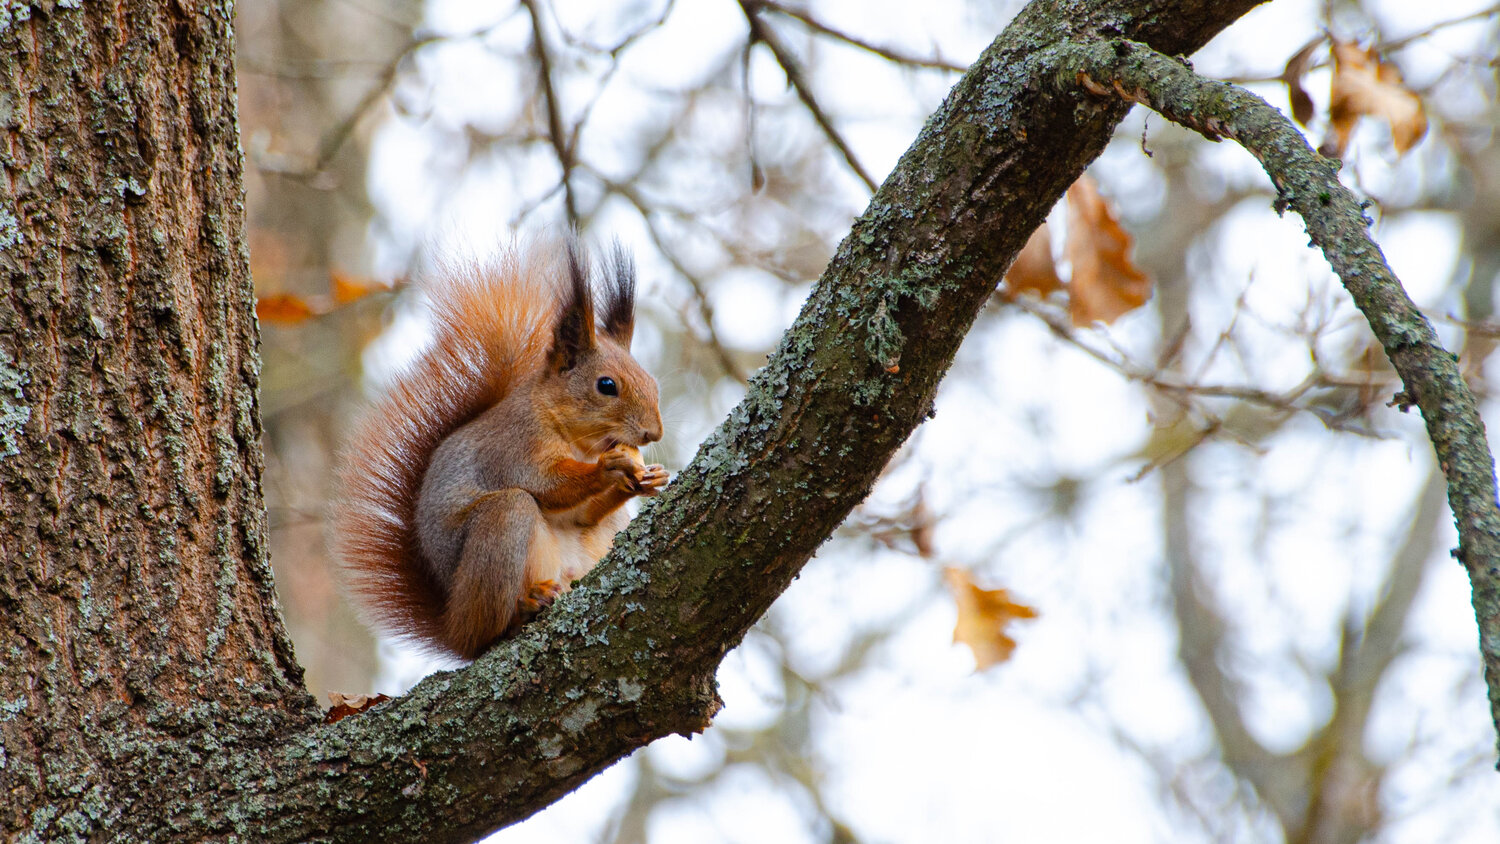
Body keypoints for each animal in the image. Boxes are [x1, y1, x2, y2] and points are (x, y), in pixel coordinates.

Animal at [334, 241, 668, 660]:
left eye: (653, 382)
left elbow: (583, 516)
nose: (654, 433)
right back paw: (524, 607)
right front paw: (608, 468)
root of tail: (451, 624)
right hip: (501, 525)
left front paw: (645, 480)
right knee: (485, 629)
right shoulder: (513, 446)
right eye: (606, 385)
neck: (579, 443)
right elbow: (545, 485)